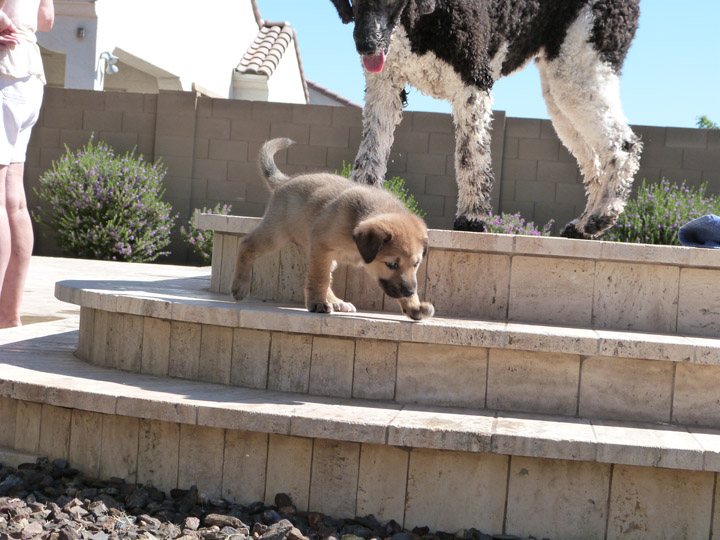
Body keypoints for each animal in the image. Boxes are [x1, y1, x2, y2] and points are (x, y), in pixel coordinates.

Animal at [231, 137, 434, 320]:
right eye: (391, 264)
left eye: (416, 264)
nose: (409, 291)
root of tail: (285, 182)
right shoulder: (322, 247)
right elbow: (319, 278)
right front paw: (317, 303)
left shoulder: (323, 252)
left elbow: (321, 278)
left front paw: (414, 307)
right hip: (275, 235)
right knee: (246, 244)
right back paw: (240, 286)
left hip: (323, 255)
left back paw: (336, 302)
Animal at [330, 0, 640, 237]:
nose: (366, 44)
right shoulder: (385, 86)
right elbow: (371, 152)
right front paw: (363, 204)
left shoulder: (474, 83)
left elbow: (470, 155)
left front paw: (472, 218)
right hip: (561, 91)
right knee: (595, 162)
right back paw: (583, 224)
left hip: (581, 64)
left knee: (624, 146)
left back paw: (603, 215)